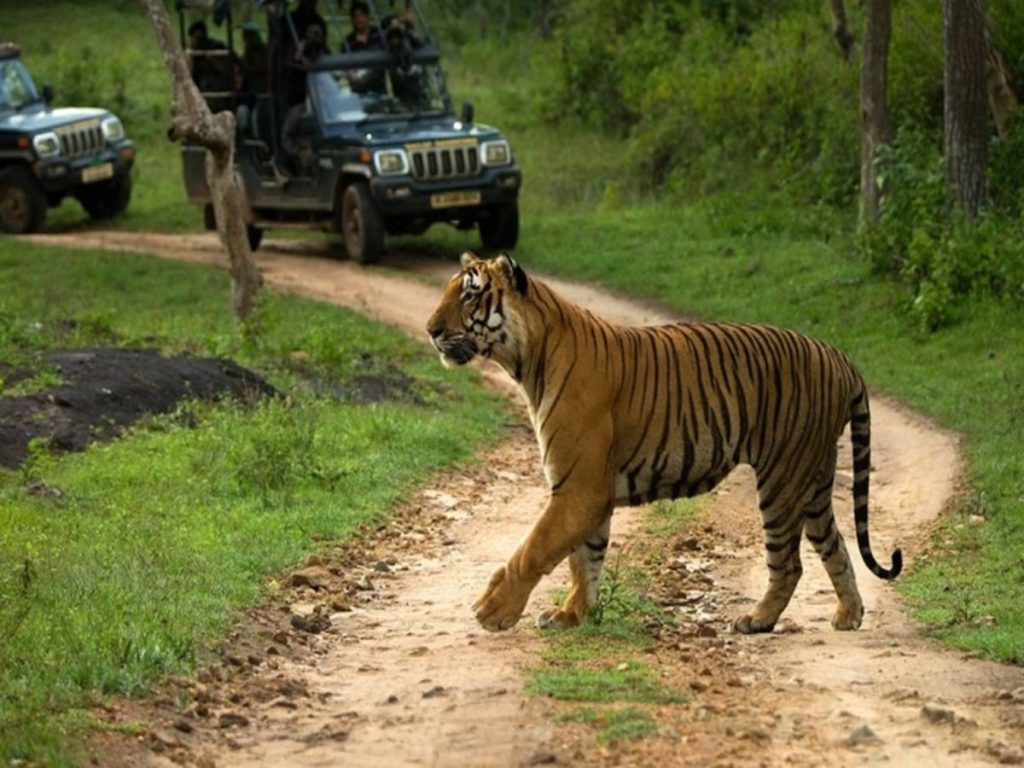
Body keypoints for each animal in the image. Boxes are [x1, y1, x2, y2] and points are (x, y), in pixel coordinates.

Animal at [428, 256, 901, 634]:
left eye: (469, 296)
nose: (431, 331)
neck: (529, 359)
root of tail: (839, 356)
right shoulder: (585, 489)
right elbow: (584, 559)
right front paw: (572, 614)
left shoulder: (578, 487)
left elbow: (535, 549)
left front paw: (494, 611)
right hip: (814, 479)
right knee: (835, 545)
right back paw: (848, 615)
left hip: (783, 477)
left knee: (789, 562)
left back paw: (758, 620)